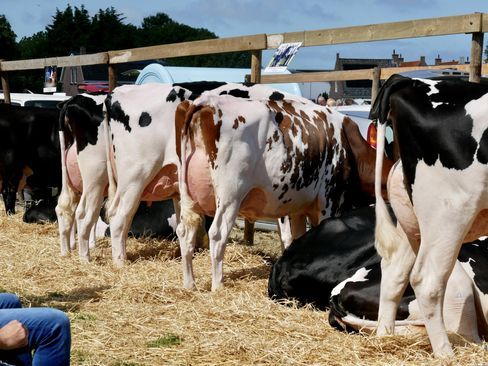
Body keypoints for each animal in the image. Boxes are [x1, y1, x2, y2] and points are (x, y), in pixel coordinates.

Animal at [177, 93, 390, 290]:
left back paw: (189, 284)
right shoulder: (330, 201)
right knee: (217, 234)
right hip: (230, 195)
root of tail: (205, 102)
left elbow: (295, 239)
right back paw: (217, 286)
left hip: (188, 197)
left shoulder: (298, 209)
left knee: (185, 232)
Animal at [372, 75, 488, 358]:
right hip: (449, 212)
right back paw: (446, 354)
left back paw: (384, 338)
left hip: (413, 220)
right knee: (427, 279)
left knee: (394, 273)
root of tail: (408, 80)